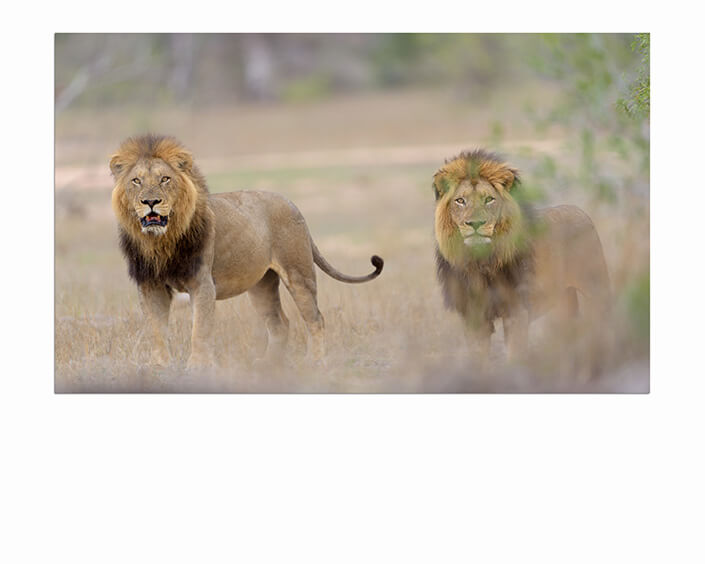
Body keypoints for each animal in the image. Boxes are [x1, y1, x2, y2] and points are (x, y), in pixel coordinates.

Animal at [110, 134, 383, 368]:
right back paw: (268, 365)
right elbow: (156, 329)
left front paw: (197, 366)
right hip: (262, 285)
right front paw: (159, 365)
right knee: (280, 324)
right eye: (136, 181)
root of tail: (292, 204)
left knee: (316, 318)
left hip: (298, 274)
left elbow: (200, 329)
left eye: (165, 179)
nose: (150, 202)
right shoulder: (150, 285)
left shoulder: (202, 283)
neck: (161, 242)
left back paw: (314, 361)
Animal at [433, 149, 610, 361]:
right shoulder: (473, 318)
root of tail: (579, 210)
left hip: (596, 289)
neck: (481, 262)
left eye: (489, 199)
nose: (475, 224)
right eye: (460, 201)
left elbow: (515, 357)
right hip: (562, 300)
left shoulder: (516, 312)